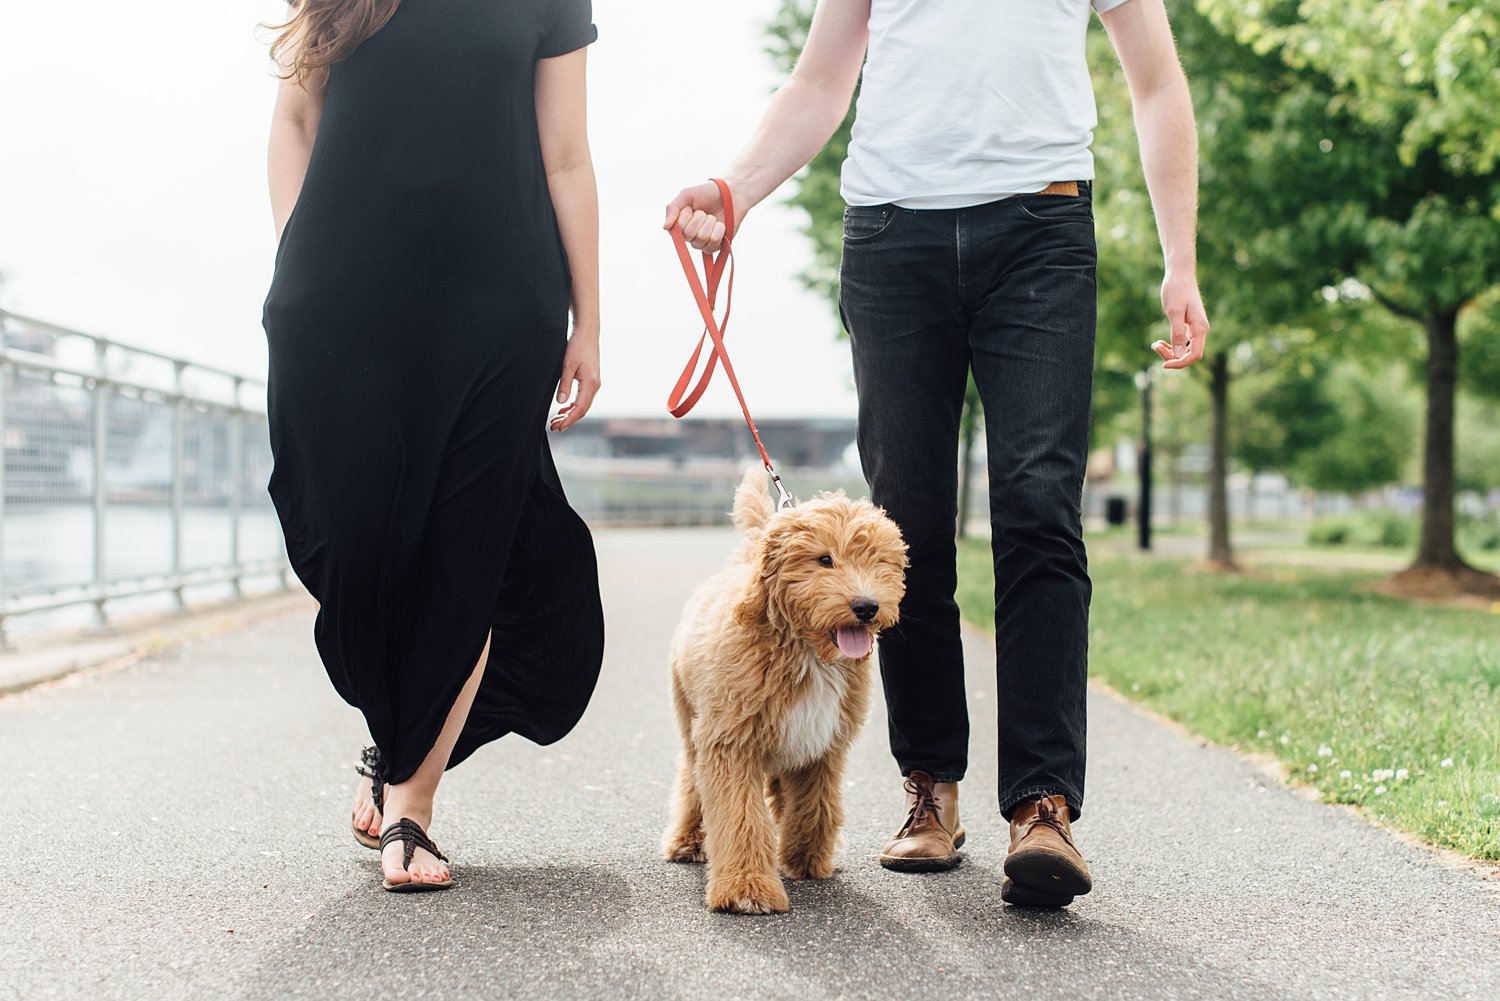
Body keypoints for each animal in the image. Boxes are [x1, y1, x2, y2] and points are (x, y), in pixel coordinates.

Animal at [666, 471, 900, 918]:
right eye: (824, 560)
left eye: (877, 560)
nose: (866, 607)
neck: (806, 652)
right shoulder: (730, 742)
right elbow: (739, 816)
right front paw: (746, 887)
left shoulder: (823, 744)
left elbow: (817, 805)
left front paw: (805, 858)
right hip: (691, 720)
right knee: (691, 779)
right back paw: (686, 841)